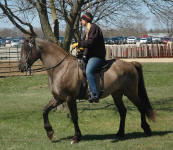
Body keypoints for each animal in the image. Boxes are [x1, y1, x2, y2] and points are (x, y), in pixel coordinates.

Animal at [18, 37, 155, 144]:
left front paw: (76, 137)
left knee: (141, 107)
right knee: (123, 111)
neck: (61, 68)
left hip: (130, 92)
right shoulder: (58, 98)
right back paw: (120, 133)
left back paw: (146, 129)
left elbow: (74, 117)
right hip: (117, 94)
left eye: (26, 49)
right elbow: (45, 111)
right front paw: (50, 132)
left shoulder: (70, 98)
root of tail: (131, 64)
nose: (21, 67)